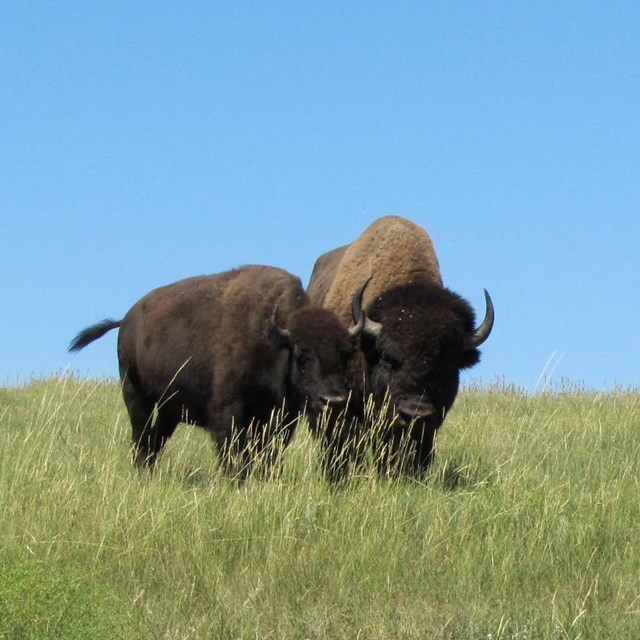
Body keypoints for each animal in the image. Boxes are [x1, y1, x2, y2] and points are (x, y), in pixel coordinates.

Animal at [69, 262, 364, 478]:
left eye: (346, 353)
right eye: (302, 356)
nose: (333, 399)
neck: (274, 339)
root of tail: (126, 320)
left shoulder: (282, 419)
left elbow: (268, 455)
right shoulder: (229, 411)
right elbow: (232, 454)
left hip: (169, 410)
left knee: (155, 441)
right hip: (136, 395)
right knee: (141, 438)